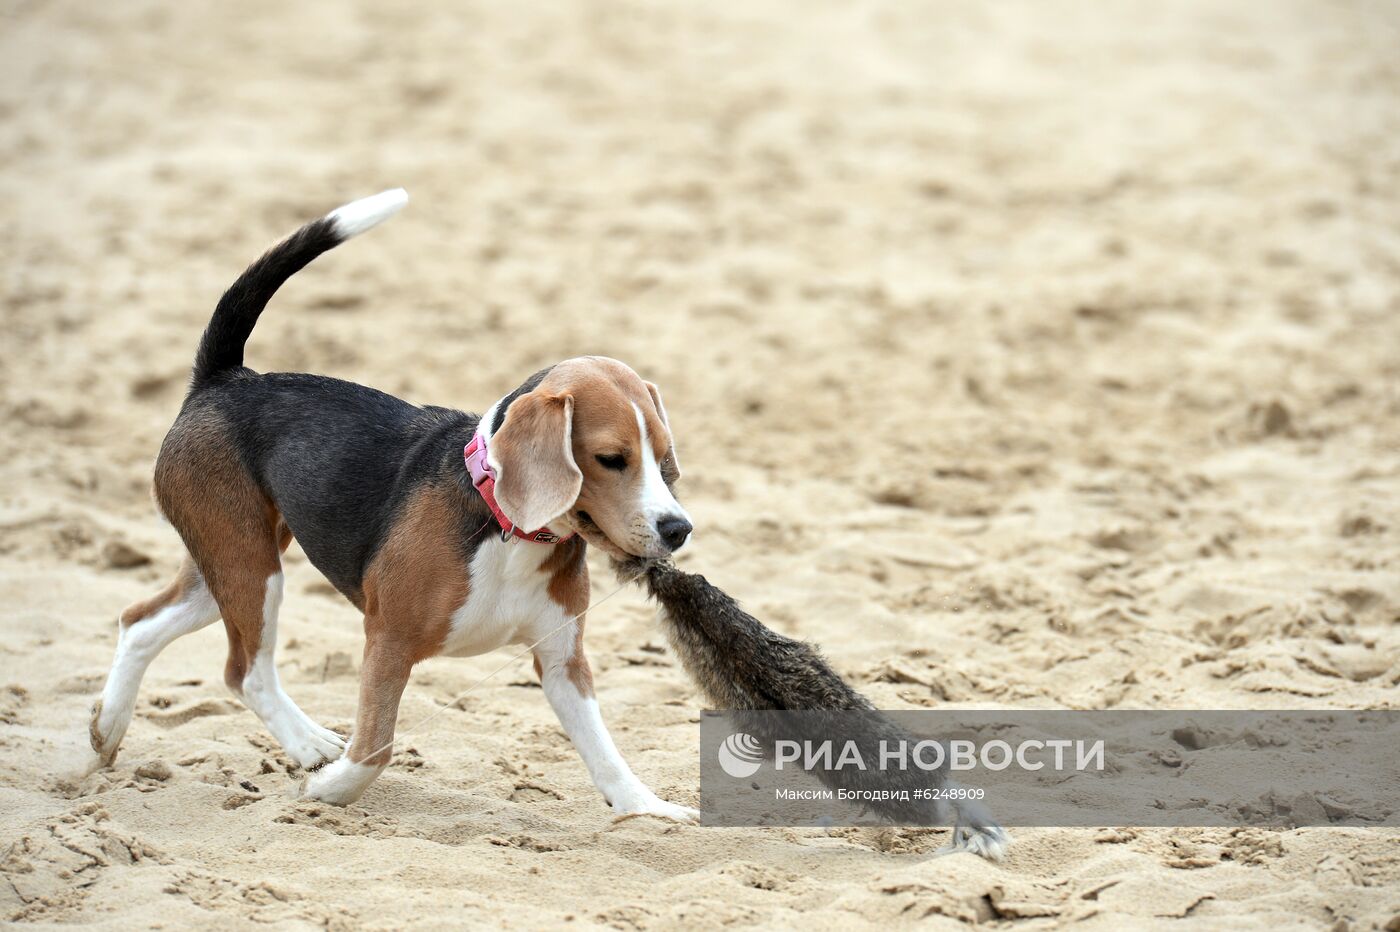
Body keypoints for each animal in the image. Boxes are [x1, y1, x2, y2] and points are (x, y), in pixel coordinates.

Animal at [87, 187, 700, 811]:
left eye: (663, 458)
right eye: (611, 459)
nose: (678, 529)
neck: (507, 528)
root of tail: (227, 379)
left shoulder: (562, 662)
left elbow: (606, 755)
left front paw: (648, 810)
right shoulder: (388, 642)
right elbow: (376, 748)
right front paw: (330, 786)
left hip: (228, 566)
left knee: (140, 623)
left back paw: (107, 730)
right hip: (250, 570)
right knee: (245, 672)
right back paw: (309, 746)